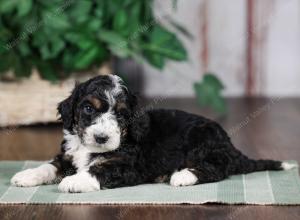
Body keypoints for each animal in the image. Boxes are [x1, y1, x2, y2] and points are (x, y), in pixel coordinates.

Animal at [11, 75, 296, 192]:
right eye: (88, 108)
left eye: (122, 115)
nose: (102, 138)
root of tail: (231, 145)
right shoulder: (68, 155)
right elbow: (49, 165)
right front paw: (26, 175)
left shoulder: (127, 165)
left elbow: (99, 169)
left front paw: (74, 181)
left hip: (202, 140)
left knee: (216, 168)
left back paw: (182, 176)